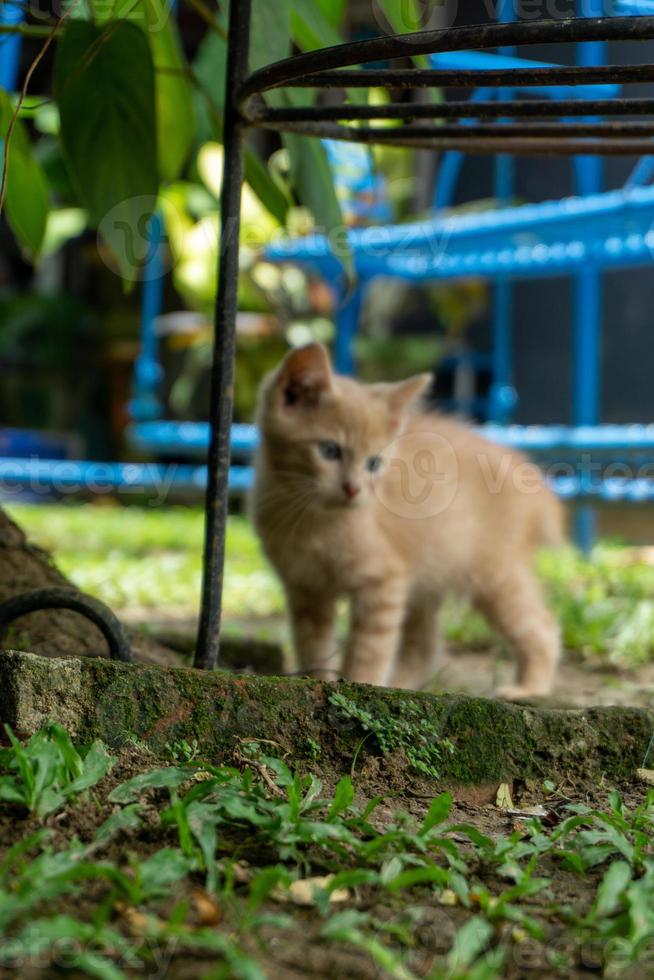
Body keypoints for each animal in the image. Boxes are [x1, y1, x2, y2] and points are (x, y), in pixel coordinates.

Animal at [251, 344, 564, 696]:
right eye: (329, 450)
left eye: (373, 463)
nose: (353, 489)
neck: (311, 519)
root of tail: (532, 477)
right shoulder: (306, 589)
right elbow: (313, 645)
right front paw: (319, 681)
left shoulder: (383, 583)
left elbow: (369, 650)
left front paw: (361, 685)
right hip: (430, 575)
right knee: (424, 644)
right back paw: (403, 684)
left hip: (494, 574)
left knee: (542, 625)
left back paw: (529, 688)